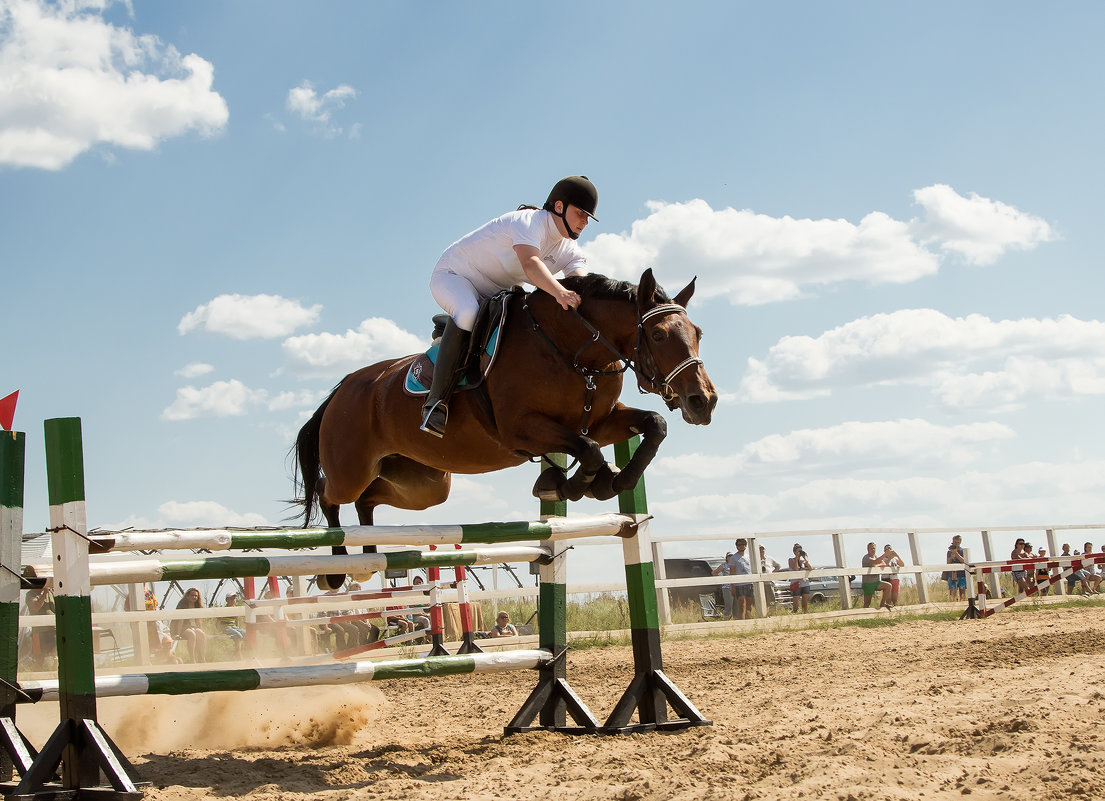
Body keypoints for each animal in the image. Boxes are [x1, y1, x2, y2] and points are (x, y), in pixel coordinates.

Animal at [291, 268, 716, 587]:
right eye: (658, 334)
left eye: (698, 332)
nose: (704, 401)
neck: (570, 349)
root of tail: (342, 389)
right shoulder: (521, 428)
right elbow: (589, 449)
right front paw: (574, 484)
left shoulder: (601, 422)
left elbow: (653, 425)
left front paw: (614, 480)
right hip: (352, 468)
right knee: (331, 495)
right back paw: (338, 569)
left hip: (423, 485)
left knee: (368, 499)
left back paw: (367, 557)